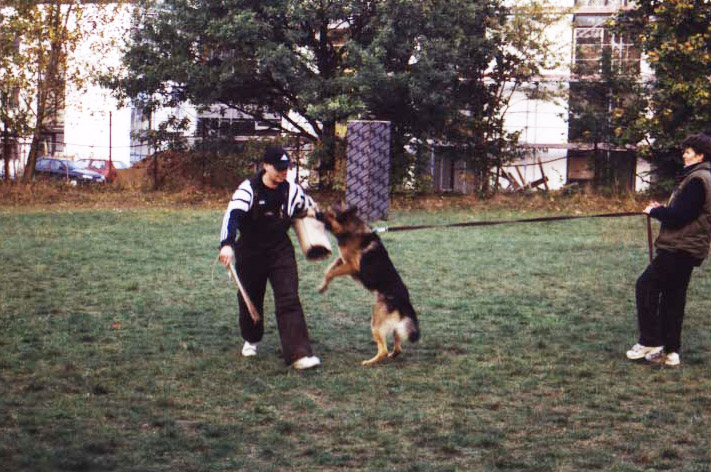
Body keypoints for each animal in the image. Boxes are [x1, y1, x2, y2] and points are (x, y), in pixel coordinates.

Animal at [316, 204, 420, 366]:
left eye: (330, 213)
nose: (316, 213)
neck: (351, 231)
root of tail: (404, 302)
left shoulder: (351, 266)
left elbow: (331, 273)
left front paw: (323, 287)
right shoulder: (342, 260)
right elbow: (329, 269)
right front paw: (323, 286)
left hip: (375, 324)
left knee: (383, 350)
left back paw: (369, 362)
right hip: (395, 326)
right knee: (398, 348)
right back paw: (392, 354)